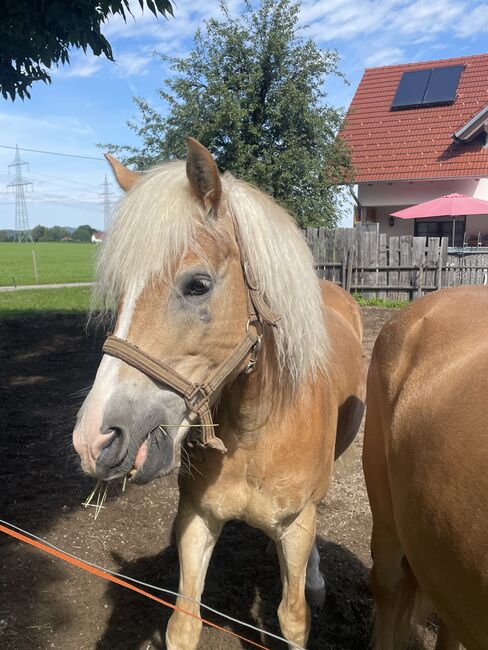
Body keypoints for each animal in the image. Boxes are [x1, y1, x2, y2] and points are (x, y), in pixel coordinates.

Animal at [70, 138, 364, 648]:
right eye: (120, 292)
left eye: (198, 285)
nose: (95, 439)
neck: (257, 426)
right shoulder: (196, 519)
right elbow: (183, 623)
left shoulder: (296, 526)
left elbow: (293, 618)